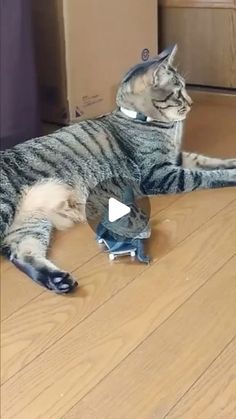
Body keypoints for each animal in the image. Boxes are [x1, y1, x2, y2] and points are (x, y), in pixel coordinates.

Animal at [0, 46, 235, 294]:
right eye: (178, 92)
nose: (191, 103)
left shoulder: (178, 159)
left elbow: (208, 161)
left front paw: (232, 163)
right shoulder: (160, 174)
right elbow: (205, 176)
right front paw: (231, 174)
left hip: (31, 224)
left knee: (21, 253)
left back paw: (58, 280)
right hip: (6, 208)